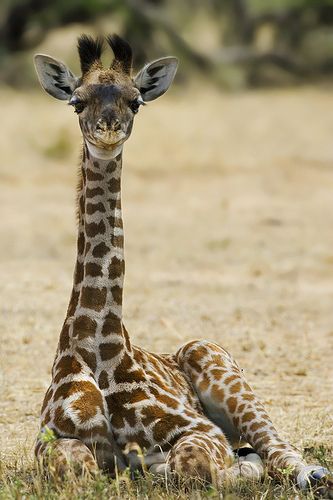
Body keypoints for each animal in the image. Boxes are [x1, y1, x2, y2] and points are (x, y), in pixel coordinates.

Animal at [31, 34, 332, 492]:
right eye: (77, 102)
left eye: (135, 101)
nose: (108, 131)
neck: (98, 348)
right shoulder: (49, 440)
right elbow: (78, 469)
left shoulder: (200, 430)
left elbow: (190, 465)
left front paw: (230, 466)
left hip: (217, 365)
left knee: (281, 452)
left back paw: (299, 469)